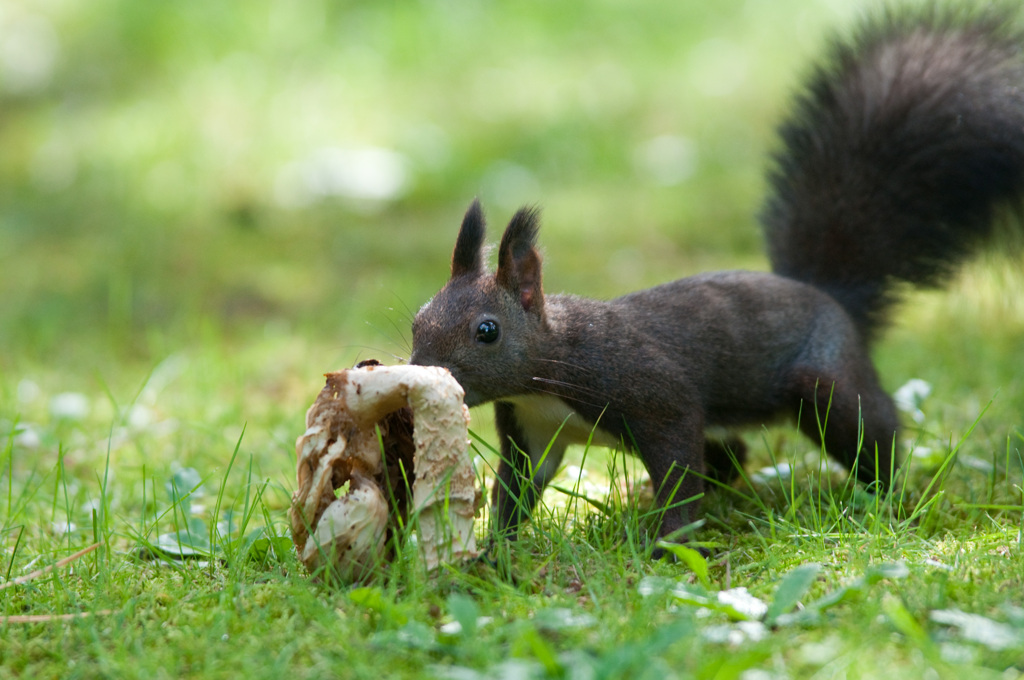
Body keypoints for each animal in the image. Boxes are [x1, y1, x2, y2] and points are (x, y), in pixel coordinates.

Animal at [405, 6, 1024, 553]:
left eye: (487, 331)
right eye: (417, 320)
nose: (423, 371)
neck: (546, 371)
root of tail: (828, 296)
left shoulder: (652, 391)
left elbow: (678, 468)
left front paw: (667, 547)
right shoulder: (531, 429)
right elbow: (516, 493)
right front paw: (496, 554)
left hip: (827, 383)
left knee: (875, 432)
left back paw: (889, 499)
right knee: (732, 460)